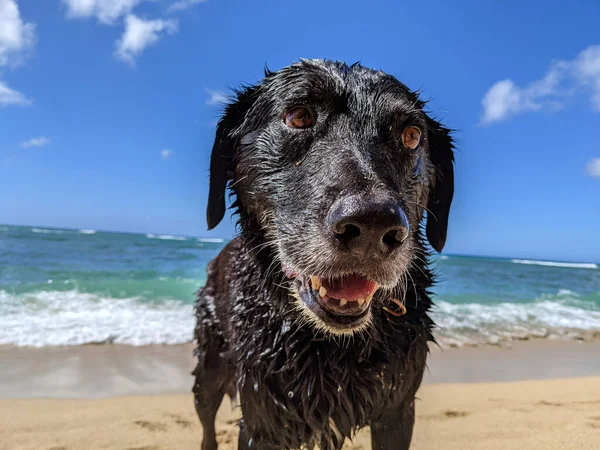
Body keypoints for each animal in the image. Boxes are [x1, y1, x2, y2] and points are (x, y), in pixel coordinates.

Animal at [193, 59, 454, 450]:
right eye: (299, 116)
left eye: (411, 136)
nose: (372, 226)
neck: (332, 344)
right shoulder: (262, 422)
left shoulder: (397, 410)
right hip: (208, 370)